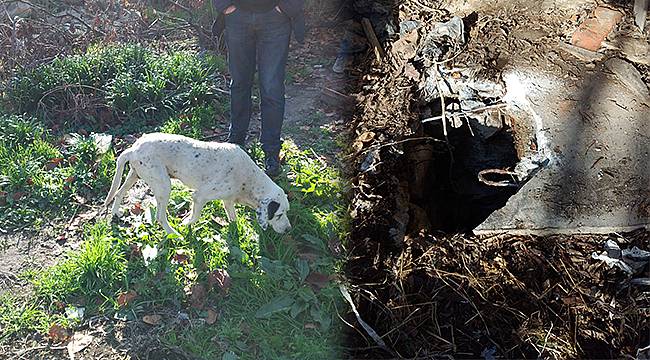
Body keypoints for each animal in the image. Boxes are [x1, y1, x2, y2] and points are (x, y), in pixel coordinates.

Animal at [104, 134, 292, 235]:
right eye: (279, 215)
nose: (289, 230)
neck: (248, 178)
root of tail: (133, 149)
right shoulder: (199, 197)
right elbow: (194, 217)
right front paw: (186, 225)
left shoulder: (228, 200)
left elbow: (233, 218)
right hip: (164, 186)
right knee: (160, 217)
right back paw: (174, 234)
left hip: (134, 176)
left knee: (119, 193)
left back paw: (115, 213)